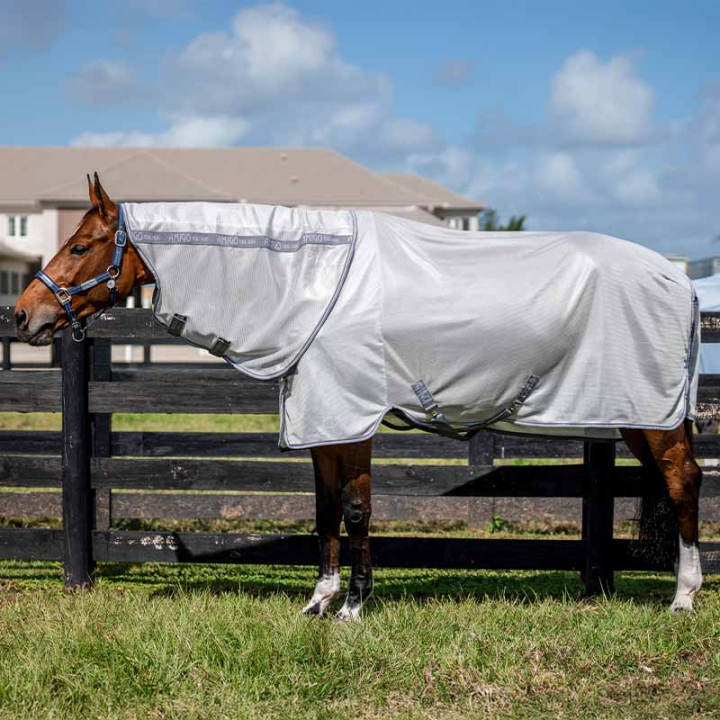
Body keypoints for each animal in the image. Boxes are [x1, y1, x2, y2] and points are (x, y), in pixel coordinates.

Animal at [14, 173, 703, 617]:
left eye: (80, 245)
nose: (23, 316)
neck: (310, 282)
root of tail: (680, 279)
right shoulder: (323, 424)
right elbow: (324, 511)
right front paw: (319, 602)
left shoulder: (351, 418)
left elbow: (355, 510)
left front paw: (353, 606)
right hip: (637, 416)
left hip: (655, 418)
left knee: (684, 483)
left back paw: (683, 597)